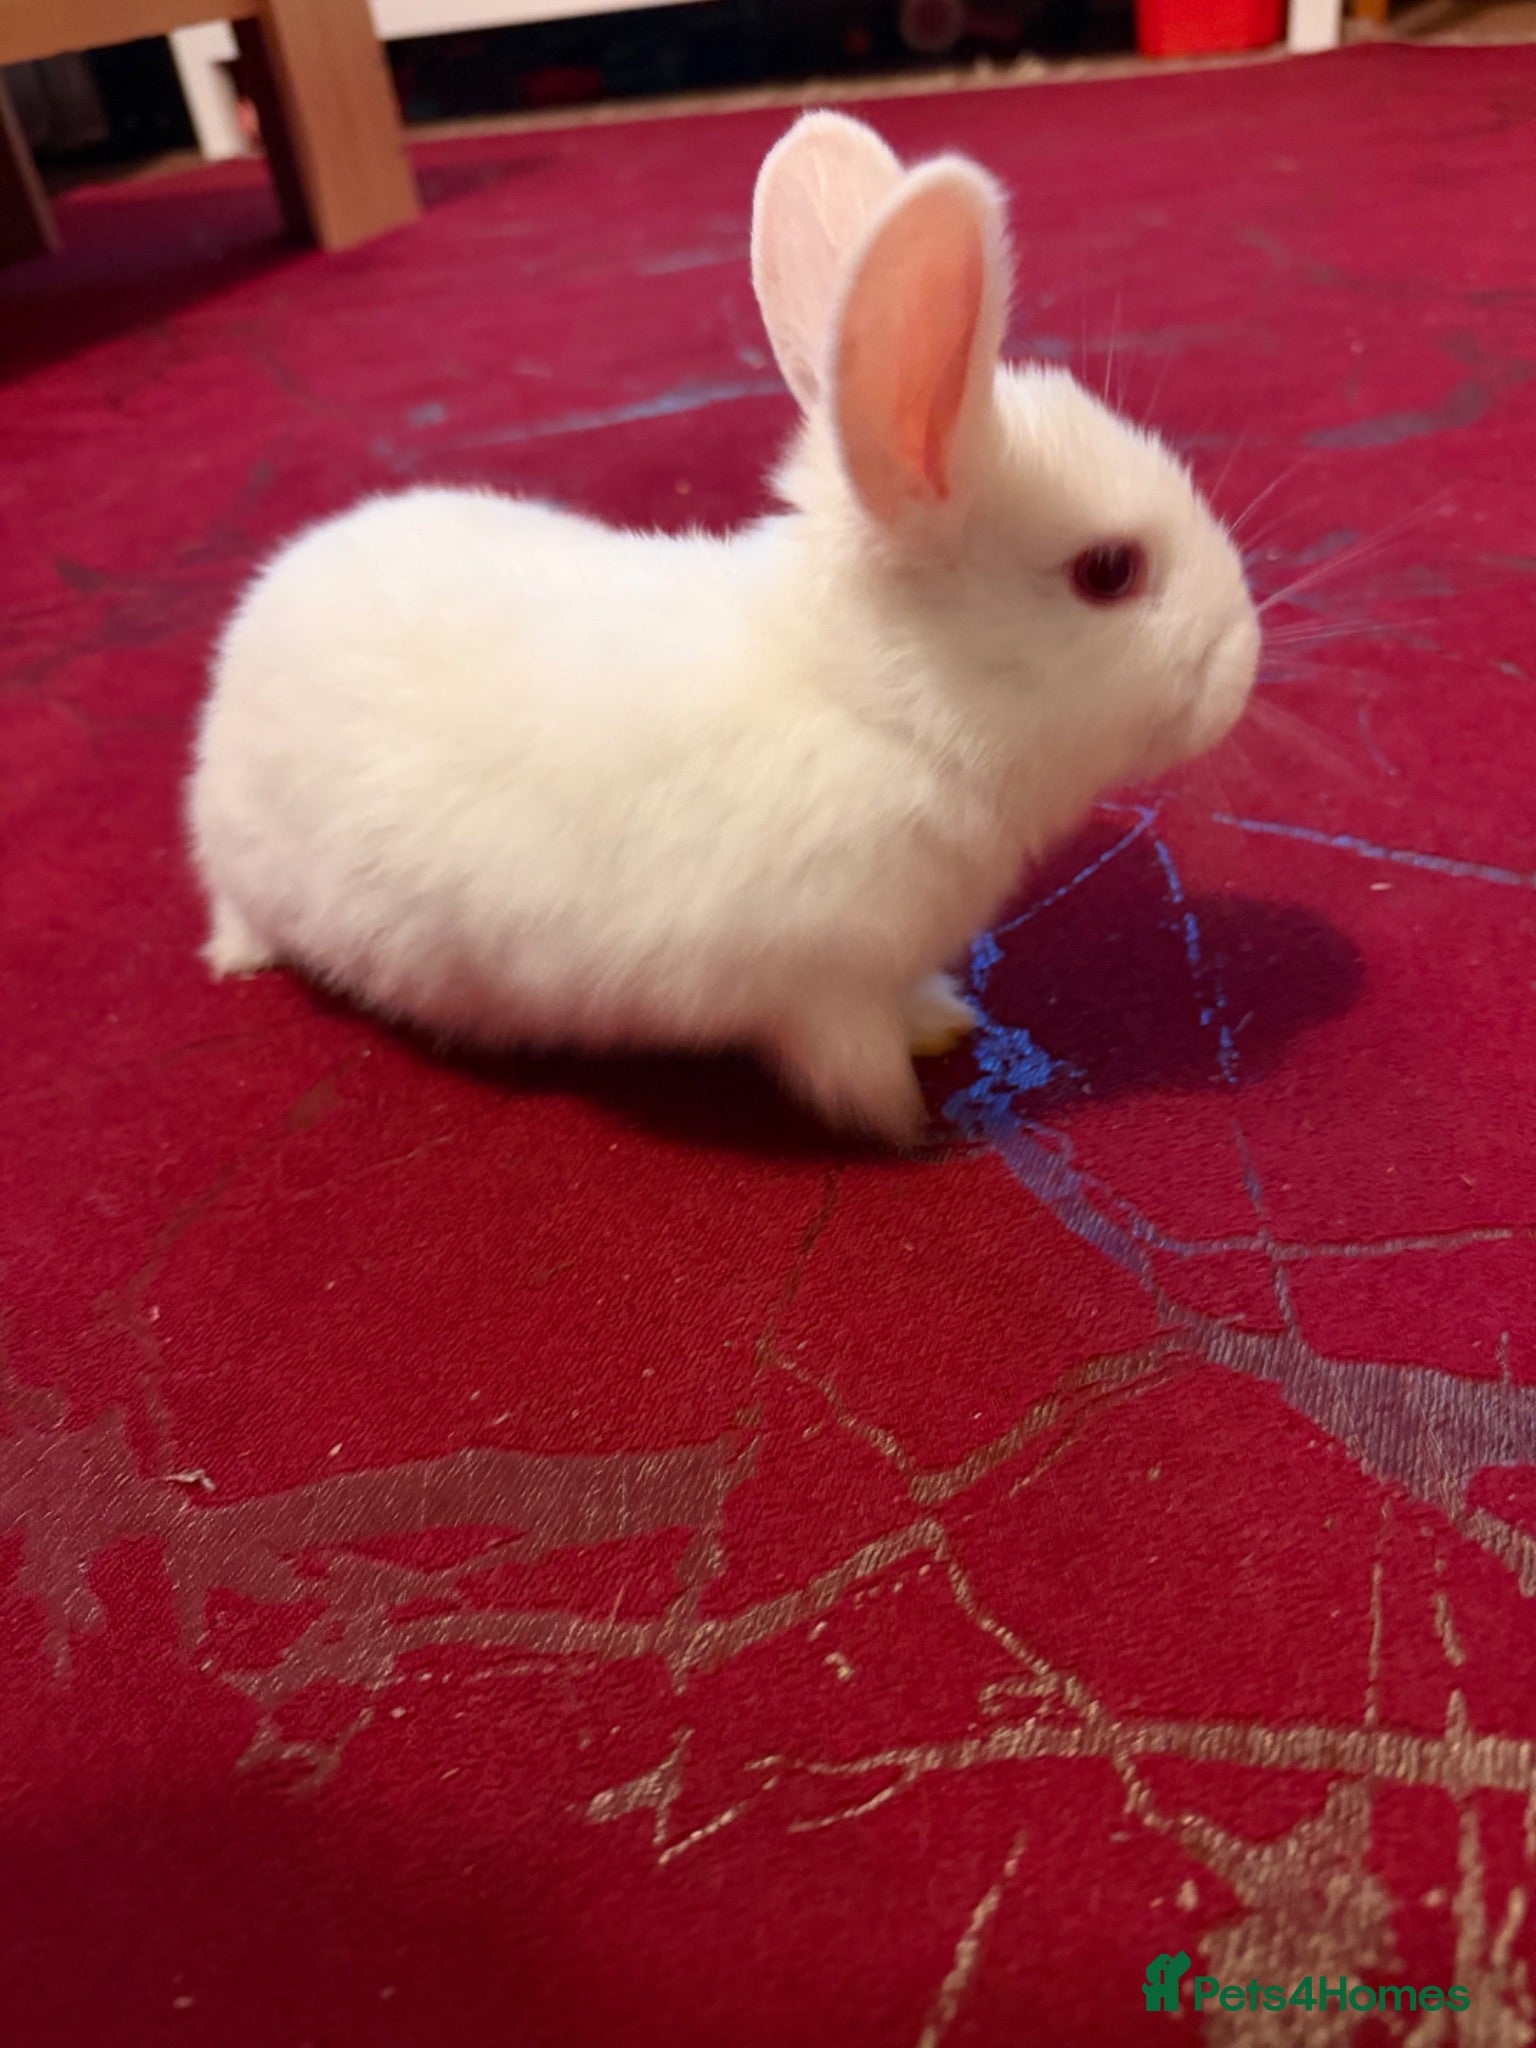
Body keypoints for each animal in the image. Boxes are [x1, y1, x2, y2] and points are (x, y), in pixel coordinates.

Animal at [187, 110, 1259, 1146]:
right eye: (1109, 571)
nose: (1244, 661)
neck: (879, 709)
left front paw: (946, 1023)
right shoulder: (821, 990)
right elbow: (858, 1074)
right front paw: (926, 1130)